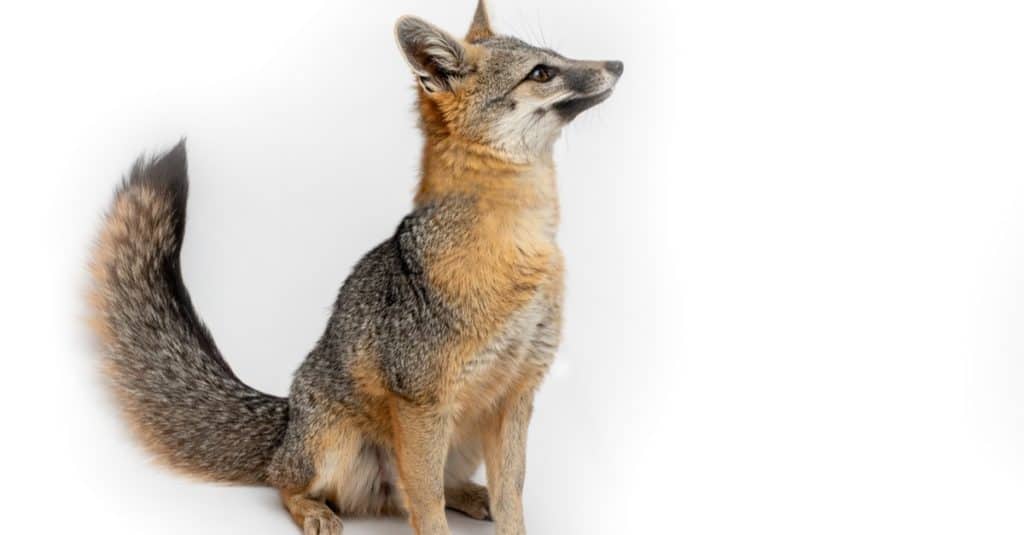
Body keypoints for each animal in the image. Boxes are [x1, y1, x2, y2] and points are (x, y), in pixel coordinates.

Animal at [86, 2, 622, 528]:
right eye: (541, 72)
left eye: (556, 57)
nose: (617, 64)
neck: (523, 246)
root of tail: (287, 417)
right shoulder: (422, 400)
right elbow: (428, 509)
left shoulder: (516, 394)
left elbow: (511, 498)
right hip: (338, 447)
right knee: (291, 484)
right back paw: (314, 511)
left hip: (460, 441)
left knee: (428, 489)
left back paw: (471, 494)